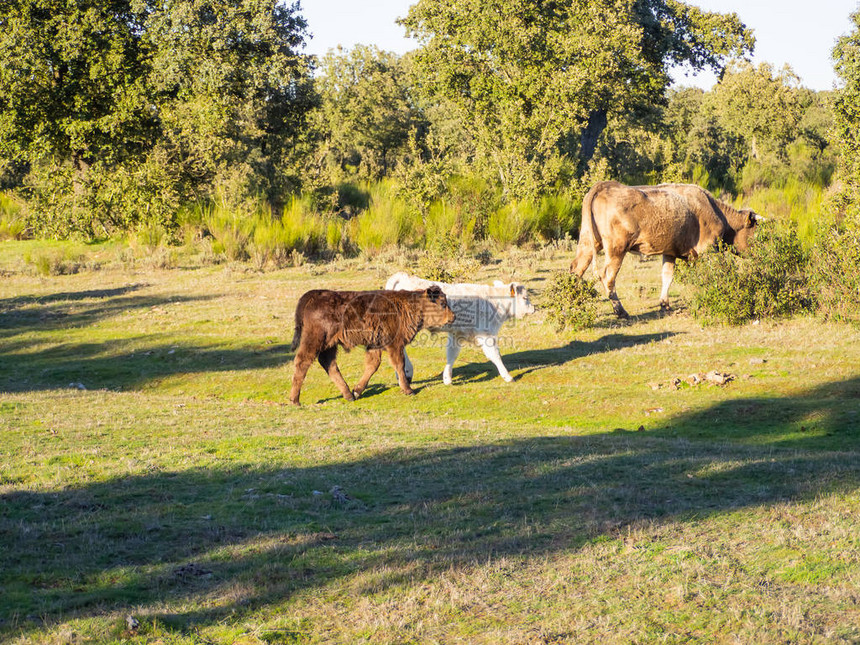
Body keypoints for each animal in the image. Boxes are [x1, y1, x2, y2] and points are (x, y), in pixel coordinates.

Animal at [290, 286, 456, 402]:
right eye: (442, 303)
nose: (453, 317)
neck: (410, 306)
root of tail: (315, 294)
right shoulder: (395, 345)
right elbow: (399, 365)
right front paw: (408, 390)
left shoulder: (374, 345)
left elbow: (372, 365)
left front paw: (357, 390)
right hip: (314, 340)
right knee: (302, 361)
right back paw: (295, 400)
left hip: (330, 345)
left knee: (329, 364)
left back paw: (348, 394)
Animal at [384, 270, 536, 382]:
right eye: (525, 298)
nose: (533, 309)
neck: (495, 302)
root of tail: (403, 276)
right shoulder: (486, 335)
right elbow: (495, 355)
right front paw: (508, 376)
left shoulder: (457, 335)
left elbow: (452, 355)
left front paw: (447, 378)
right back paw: (407, 371)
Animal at [568, 181, 764, 316]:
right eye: (756, 232)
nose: (761, 254)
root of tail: (605, 185)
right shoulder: (706, 250)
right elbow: (706, 276)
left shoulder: (669, 252)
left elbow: (667, 276)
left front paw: (664, 304)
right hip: (616, 248)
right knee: (608, 276)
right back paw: (620, 311)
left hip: (587, 242)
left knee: (576, 269)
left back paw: (573, 304)